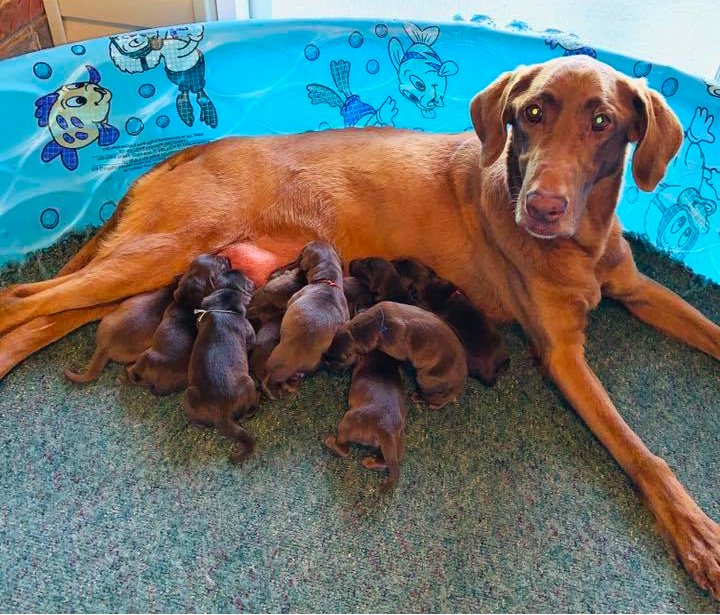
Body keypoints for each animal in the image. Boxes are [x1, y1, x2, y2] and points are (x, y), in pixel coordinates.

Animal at [127, 254, 231, 394]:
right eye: (220, 263)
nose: (227, 257)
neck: (188, 303)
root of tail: (159, 383)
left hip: (145, 357)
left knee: (133, 373)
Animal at [324, 352, 404, 490]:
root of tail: (385, 429)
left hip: (348, 420)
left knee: (344, 450)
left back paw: (330, 441)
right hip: (399, 445)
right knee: (389, 462)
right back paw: (370, 461)